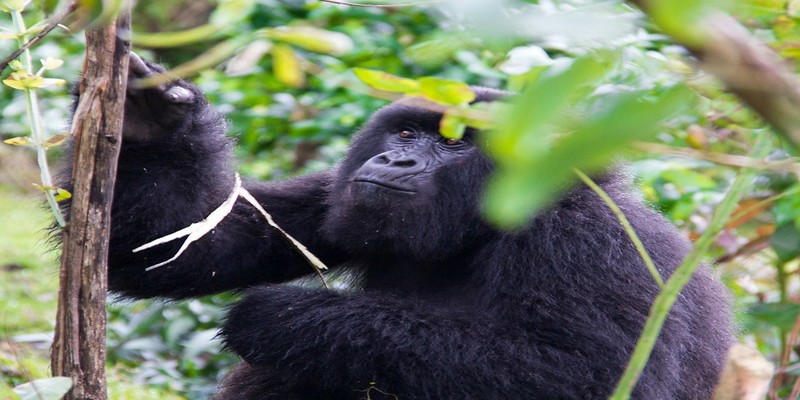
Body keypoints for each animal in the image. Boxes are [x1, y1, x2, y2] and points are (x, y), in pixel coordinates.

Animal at [59, 54, 736, 400]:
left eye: (456, 145)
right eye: (407, 133)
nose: (396, 162)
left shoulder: (590, 241)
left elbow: (585, 375)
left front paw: (289, 316)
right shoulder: (337, 191)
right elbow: (177, 244)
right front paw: (150, 118)